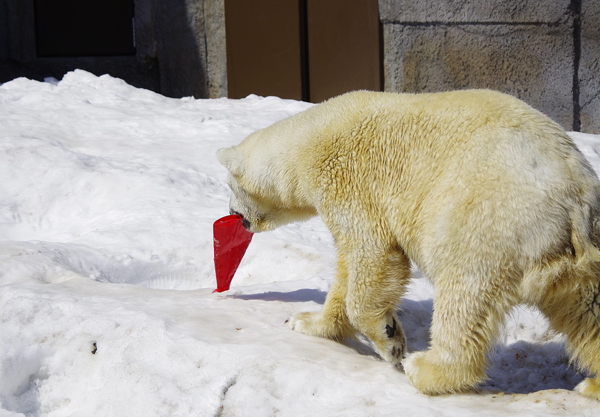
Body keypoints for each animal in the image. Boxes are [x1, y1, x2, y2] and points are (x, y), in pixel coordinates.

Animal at [218, 89, 600, 398]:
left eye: (229, 186)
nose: (234, 214)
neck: (308, 141)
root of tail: (574, 196)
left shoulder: (350, 181)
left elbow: (373, 254)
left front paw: (390, 339)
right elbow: (346, 268)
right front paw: (307, 321)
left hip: (486, 221)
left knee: (464, 297)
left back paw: (425, 368)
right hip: (575, 256)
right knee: (586, 311)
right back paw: (591, 385)